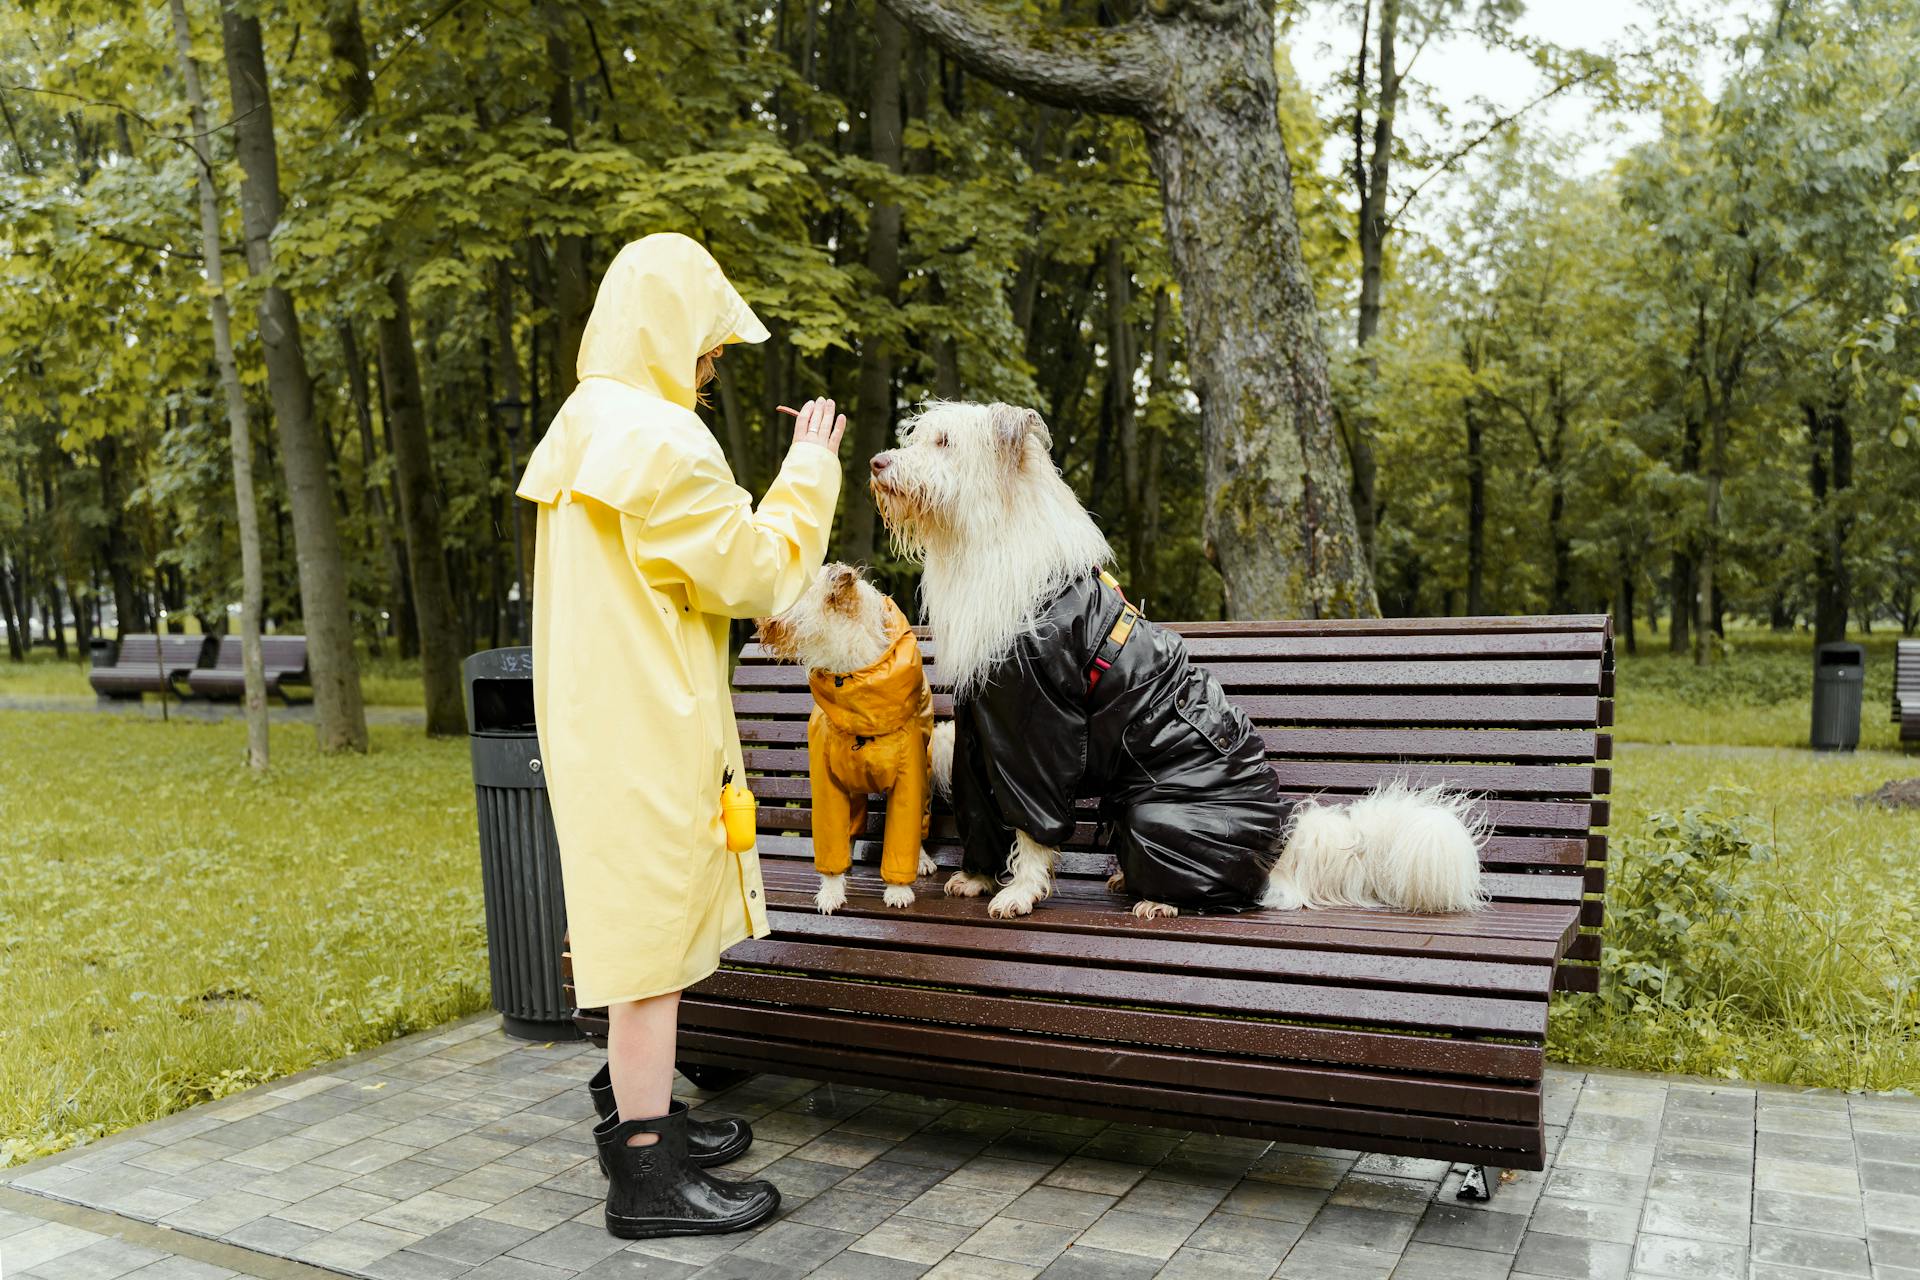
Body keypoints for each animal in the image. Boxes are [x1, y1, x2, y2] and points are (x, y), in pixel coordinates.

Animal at [756, 564, 936, 917]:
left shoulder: (909, 781)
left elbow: (902, 838)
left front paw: (898, 889)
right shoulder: (828, 785)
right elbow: (831, 842)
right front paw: (831, 890)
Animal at [871, 401, 1482, 921]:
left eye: (944, 442)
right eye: (918, 437)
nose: (877, 463)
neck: (987, 543)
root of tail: (1279, 847)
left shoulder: (1036, 732)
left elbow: (1033, 825)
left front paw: (1020, 892)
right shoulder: (978, 728)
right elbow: (979, 808)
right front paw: (976, 879)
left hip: (1161, 816)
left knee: (1222, 891)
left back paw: (1159, 899)